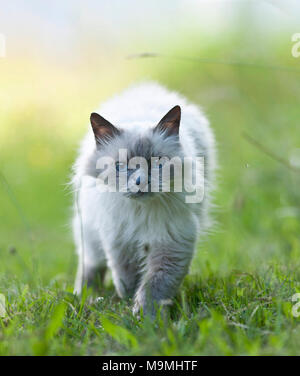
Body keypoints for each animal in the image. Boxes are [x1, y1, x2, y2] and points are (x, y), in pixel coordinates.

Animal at [71, 82, 217, 318]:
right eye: (121, 166)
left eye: (157, 163)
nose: (140, 181)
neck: (140, 212)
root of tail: (143, 89)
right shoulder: (119, 241)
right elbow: (127, 279)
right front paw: (128, 303)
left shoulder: (170, 243)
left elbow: (154, 285)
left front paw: (146, 317)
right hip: (91, 235)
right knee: (90, 266)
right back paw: (86, 297)